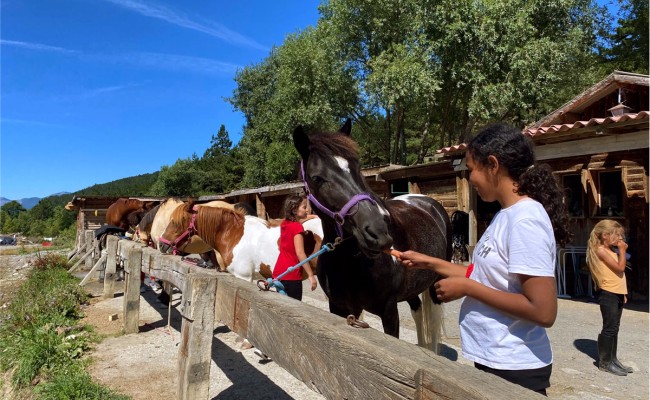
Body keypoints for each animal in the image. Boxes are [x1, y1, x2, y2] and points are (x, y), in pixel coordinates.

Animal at [294, 120, 450, 352]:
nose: (379, 232)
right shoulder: (339, 307)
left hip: (437, 282)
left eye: (358, 168)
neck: (350, 263)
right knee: (417, 309)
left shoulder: (389, 311)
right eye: (317, 178)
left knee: (433, 320)